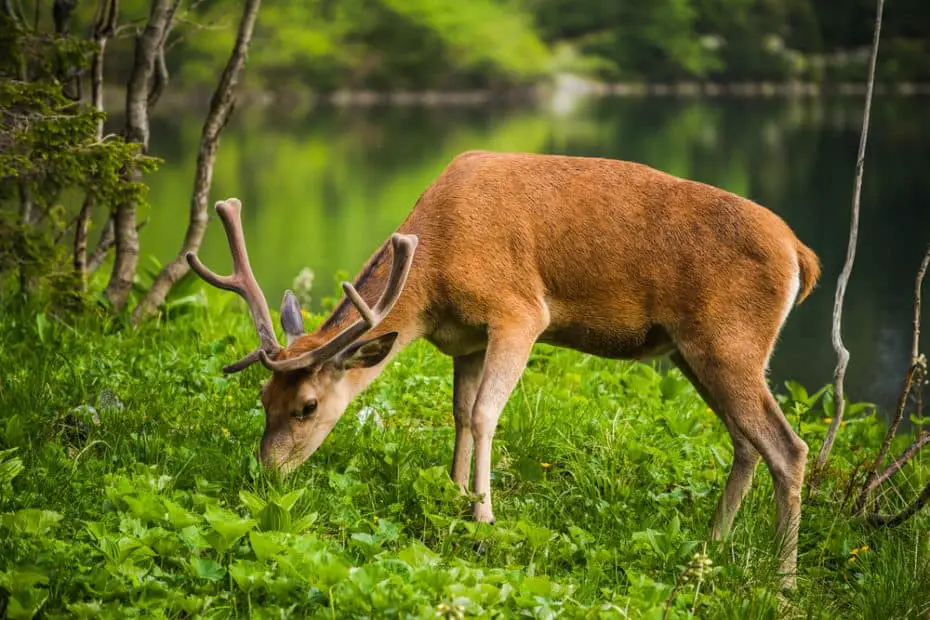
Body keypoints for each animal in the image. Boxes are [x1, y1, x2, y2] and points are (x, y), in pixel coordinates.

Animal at [187, 150, 820, 589]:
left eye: (308, 407)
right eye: (263, 397)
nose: (265, 471)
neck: (432, 275)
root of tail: (801, 254)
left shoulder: (519, 311)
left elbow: (487, 413)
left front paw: (485, 517)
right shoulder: (464, 341)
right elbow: (460, 413)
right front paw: (452, 496)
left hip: (729, 342)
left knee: (788, 447)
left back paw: (783, 582)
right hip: (696, 353)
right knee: (746, 443)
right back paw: (708, 550)